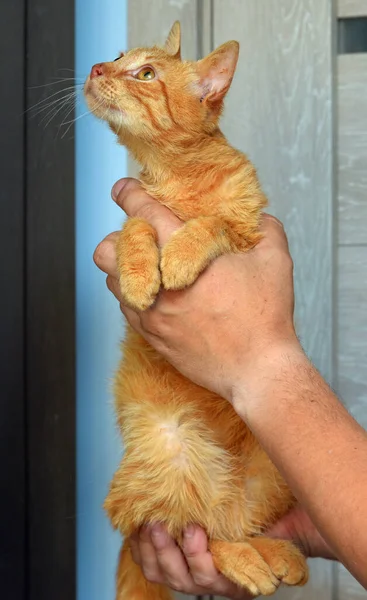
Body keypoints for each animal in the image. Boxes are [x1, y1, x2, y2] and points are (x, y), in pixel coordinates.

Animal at [85, 22, 310, 600]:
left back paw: (277, 557)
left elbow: (214, 225)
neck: (180, 176)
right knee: (195, 529)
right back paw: (259, 561)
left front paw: (182, 254)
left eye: (146, 73)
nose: (95, 68)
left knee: (230, 526)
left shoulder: (248, 233)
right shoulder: (131, 218)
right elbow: (136, 227)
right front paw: (142, 272)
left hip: (272, 466)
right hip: (172, 447)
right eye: (117, 56)